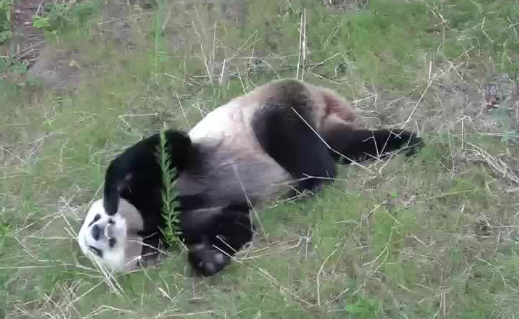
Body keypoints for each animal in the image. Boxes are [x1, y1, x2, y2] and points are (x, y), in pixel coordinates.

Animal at [78, 78, 426, 278]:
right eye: (96, 251)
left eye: (94, 218)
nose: (98, 230)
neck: (143, 219)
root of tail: (323, 98)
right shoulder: (170, 231)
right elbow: (234, 223)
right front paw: (209, 260)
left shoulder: (157, 181)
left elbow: (169, 146)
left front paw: (111, 189)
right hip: (323, 126)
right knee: (345, 145)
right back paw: (404, 141)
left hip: (277, 105)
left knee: (286, 136)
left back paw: (307, 187)